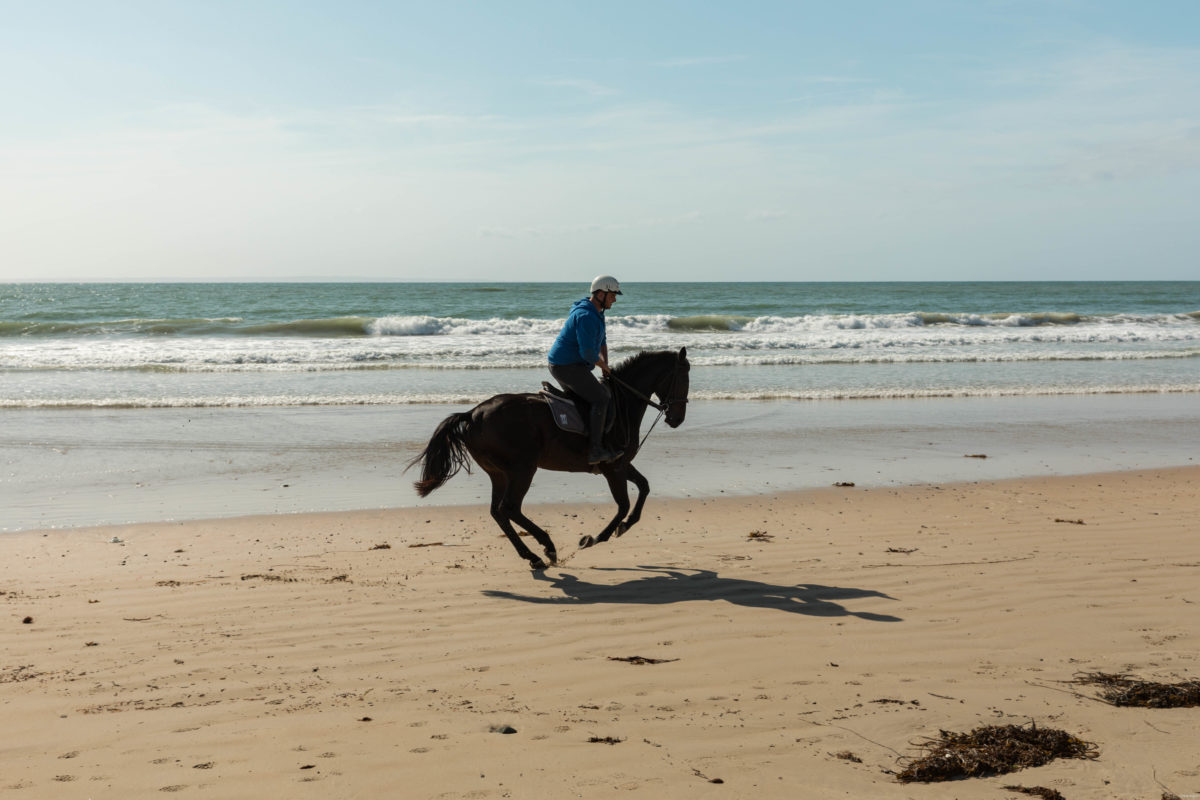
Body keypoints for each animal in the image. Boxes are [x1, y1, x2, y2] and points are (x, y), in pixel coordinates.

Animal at [410, 347, 691, 568]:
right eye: (684, 377)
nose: (677, 419)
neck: (622, 403)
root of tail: (471, 414)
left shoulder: (621, 464)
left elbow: (644, 487)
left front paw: (626, 525)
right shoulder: (613, 468)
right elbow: (623, 504)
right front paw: (594, 538)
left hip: (499, 473)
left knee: (498, 512)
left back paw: (533, 555)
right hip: (522, 469)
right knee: (508, 508)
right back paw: (547, 547)